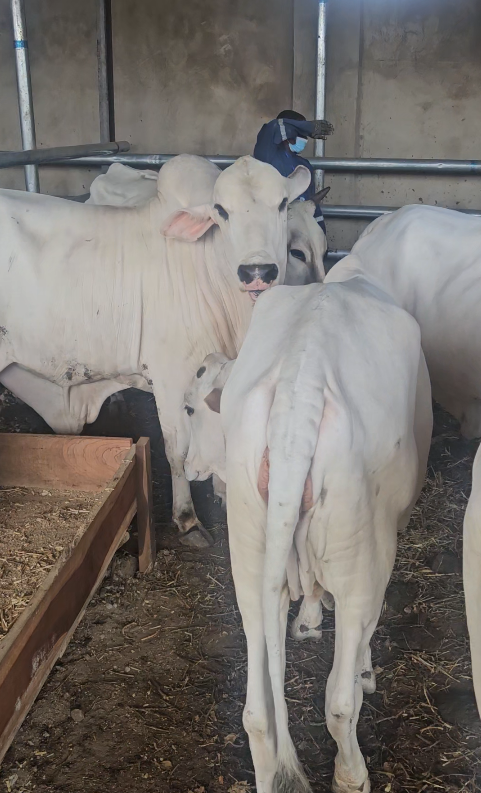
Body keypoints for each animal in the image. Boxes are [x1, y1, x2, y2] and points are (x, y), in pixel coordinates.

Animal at [0, 157, 327, 537]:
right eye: (221, 210)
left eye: (282, 204)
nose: (257, 270)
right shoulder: (170, 379)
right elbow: (178, 450)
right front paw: (187, 517)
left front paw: (223, 493)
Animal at [182, 255, 432, 791]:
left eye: (191, 406)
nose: (189, 465)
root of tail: (300, 388)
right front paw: (362, 669)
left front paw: (309, 621)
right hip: (361, 555)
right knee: (339, 701)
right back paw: (352, 772)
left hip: (250, 557)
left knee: (258, 713)